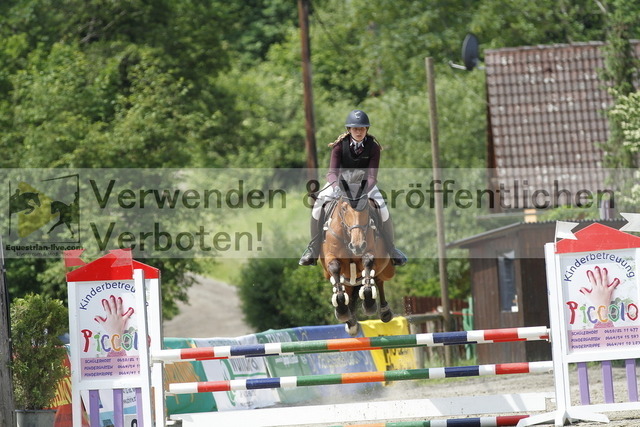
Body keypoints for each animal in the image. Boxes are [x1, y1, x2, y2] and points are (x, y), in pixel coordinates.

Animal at [319, 171, 395, 336]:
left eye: (365, 208)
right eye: (344, 208)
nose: (357, 246)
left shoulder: (370, 254)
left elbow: (368, 264)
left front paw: (369, 303)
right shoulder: (331, 258)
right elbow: (335, 268)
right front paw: (341, 310)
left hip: (386, 269)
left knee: (378, 279)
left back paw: (384, 311)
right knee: (346, 287)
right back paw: (350, 320)